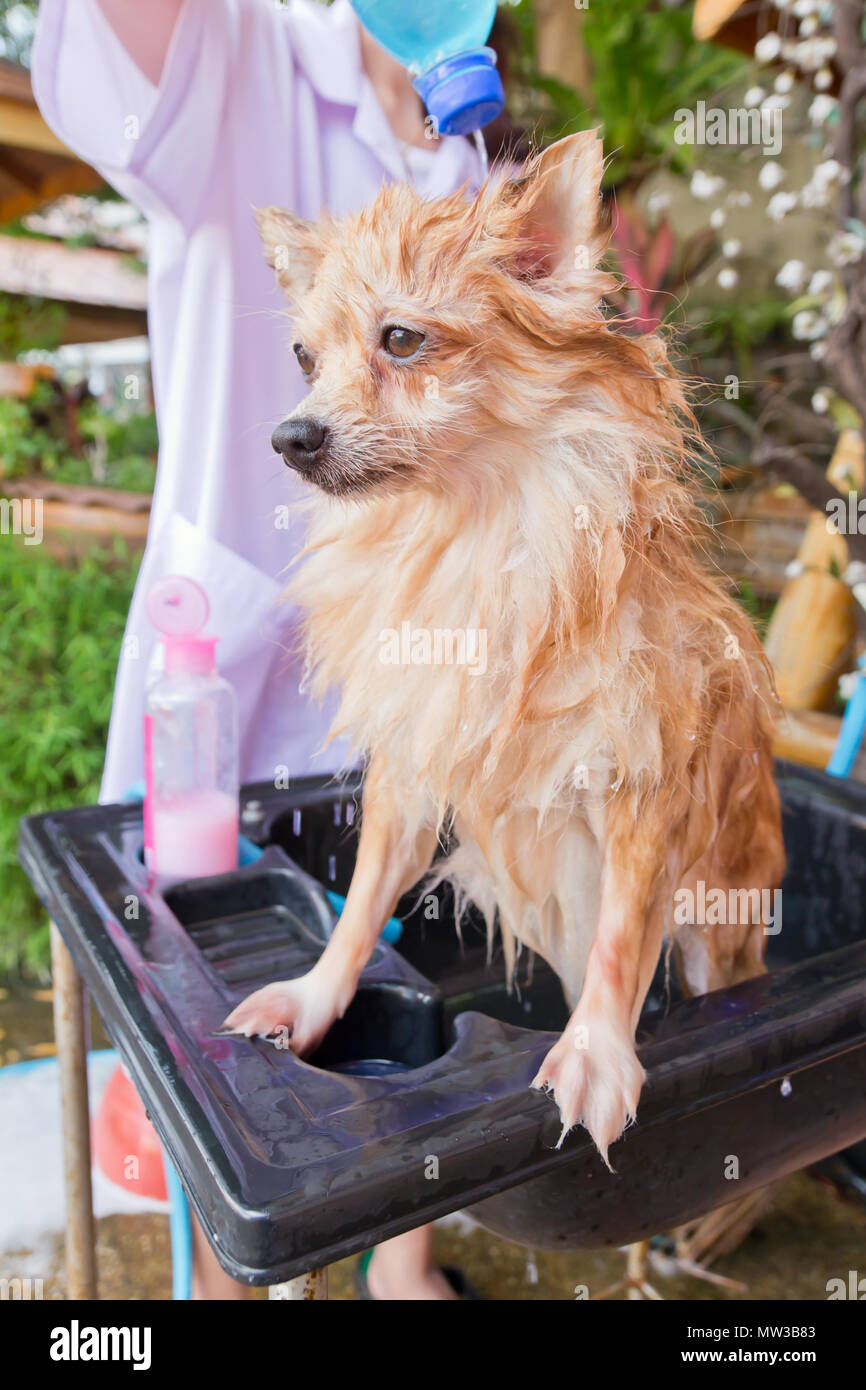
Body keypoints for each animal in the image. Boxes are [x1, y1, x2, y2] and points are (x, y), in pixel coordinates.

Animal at [225, 135, 783, 1167]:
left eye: (402, 340)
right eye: (303, 358)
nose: (290, 435)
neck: (473, 540)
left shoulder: (643, 776)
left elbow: (617, 937)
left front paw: (596, 1052)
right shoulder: (411, 763)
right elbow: (362, 901)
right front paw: (317, 996)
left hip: (723, 934)